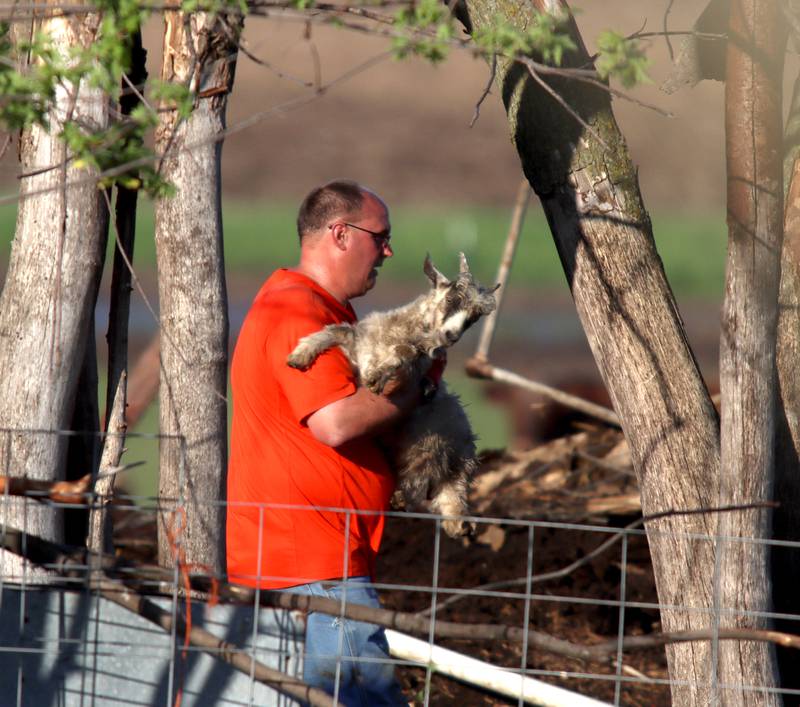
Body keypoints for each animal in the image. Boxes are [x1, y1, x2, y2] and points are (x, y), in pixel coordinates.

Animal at [288, 254, 500, 536]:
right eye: (452, 298)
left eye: (474, 317)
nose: (451, 336)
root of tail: (459, 459)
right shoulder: (359, 347)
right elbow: (337, 330)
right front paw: (301, 355)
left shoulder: (413, 365)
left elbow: (402, 353)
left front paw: (377, 375)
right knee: (449, 499)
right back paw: (459, 525)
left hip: (426, 447)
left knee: (423, 485)